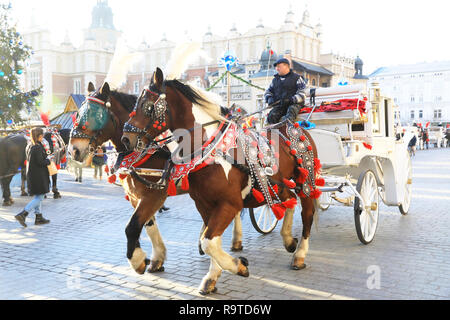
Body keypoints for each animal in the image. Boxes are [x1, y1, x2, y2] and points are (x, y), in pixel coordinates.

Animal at [68, 82, 244, 276]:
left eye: (94, 114)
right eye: (78, 114)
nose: (73, 150)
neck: (147, 151)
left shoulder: (154, 195)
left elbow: (132, 226)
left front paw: (137, 260)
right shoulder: (136, 196)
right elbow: (147, 225)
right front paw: (156, 258)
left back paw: (235, 240)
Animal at [121, 68, 322, 296]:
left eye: (146, 106)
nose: (126, 139)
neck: (211, 151)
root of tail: (295, 125)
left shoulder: (229, 203)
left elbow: (208, 242)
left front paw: (238, 266)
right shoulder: (204, 204)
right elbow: (210, 240)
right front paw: (213, 277)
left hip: (306, 183)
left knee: (307, 215)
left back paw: (299, 255)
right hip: (278, 184)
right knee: (289, 200)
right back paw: (288, 239)